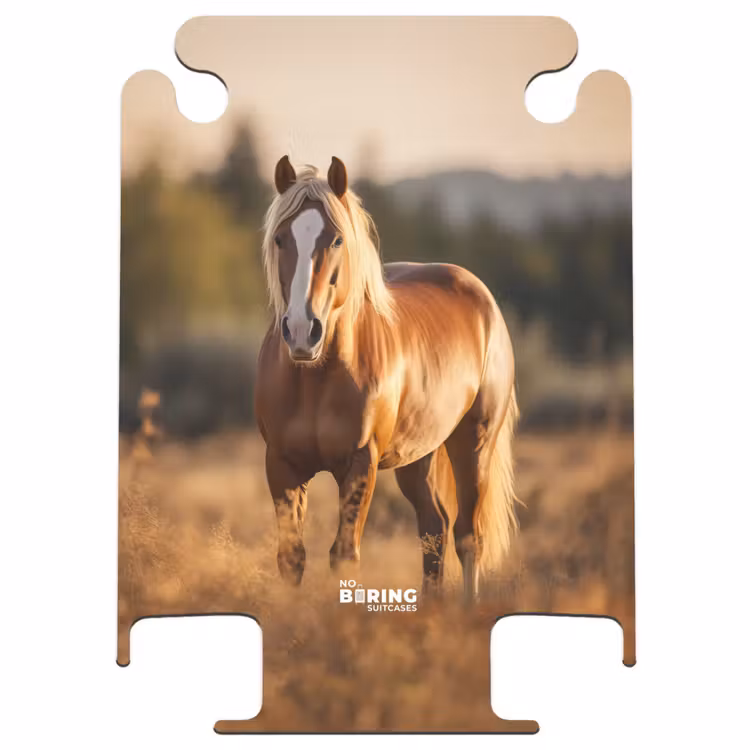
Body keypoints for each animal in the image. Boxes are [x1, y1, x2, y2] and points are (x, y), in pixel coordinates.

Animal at [254, 155, 519, 600]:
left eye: (337, 240)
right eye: (279, 238)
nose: (303, 330)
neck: (315, 379)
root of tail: (483, 298)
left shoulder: (362, 463)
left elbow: (344, 556)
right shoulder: (281, 464)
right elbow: (291, 558)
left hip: (474, 444)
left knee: (468, 537)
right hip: (419, 455)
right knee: (435, 529)